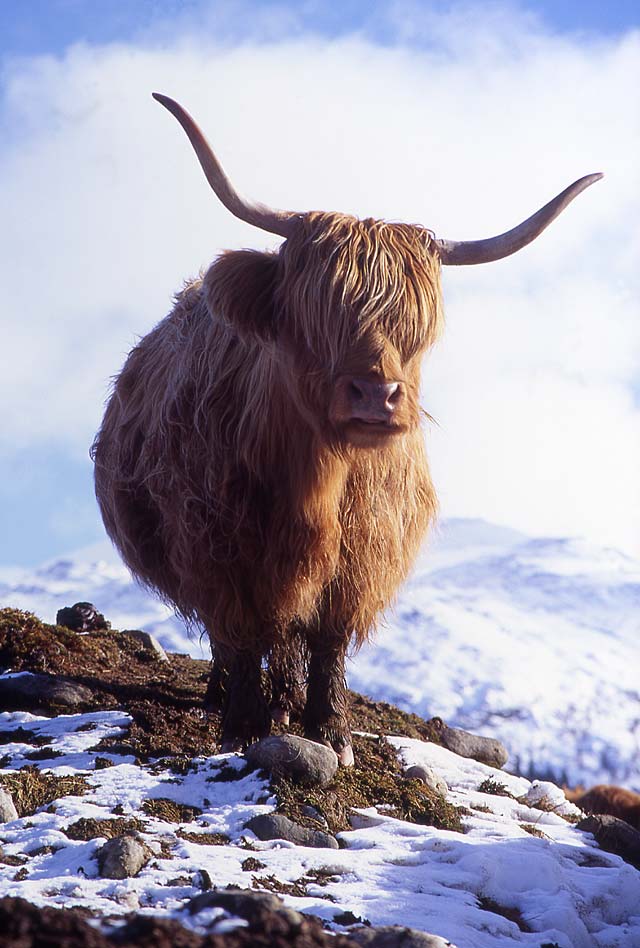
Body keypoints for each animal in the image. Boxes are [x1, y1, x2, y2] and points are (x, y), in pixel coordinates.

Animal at [92, 94, 604, 764]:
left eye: (415, 327)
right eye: (316, 314)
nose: (376, 395)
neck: (319, 479)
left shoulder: (363, 555)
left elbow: (329, 638)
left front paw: (330, 729)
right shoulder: (217, 546)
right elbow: (241, 629)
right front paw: (242, 725)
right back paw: (231, 697)